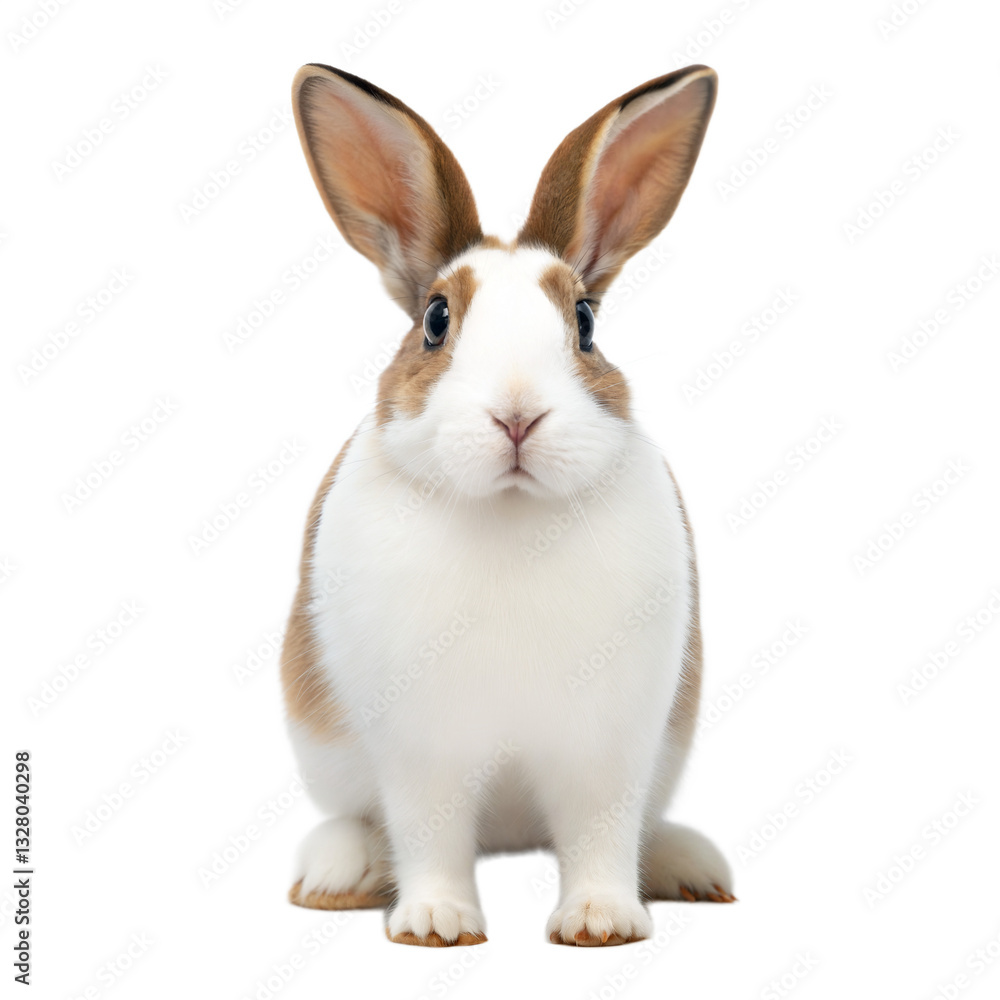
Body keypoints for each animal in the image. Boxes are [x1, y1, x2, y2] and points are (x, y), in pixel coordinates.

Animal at [280, 62, 734, 948]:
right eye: (435, 319)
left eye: (585, 322)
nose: (518, 415)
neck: (511, 514)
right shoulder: (423, 750)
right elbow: (428, 832)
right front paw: (434, 923)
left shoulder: (609, 747)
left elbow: (601, 830)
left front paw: (601, 921)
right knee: (359, 821)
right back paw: (338, 871)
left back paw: (688, 866)